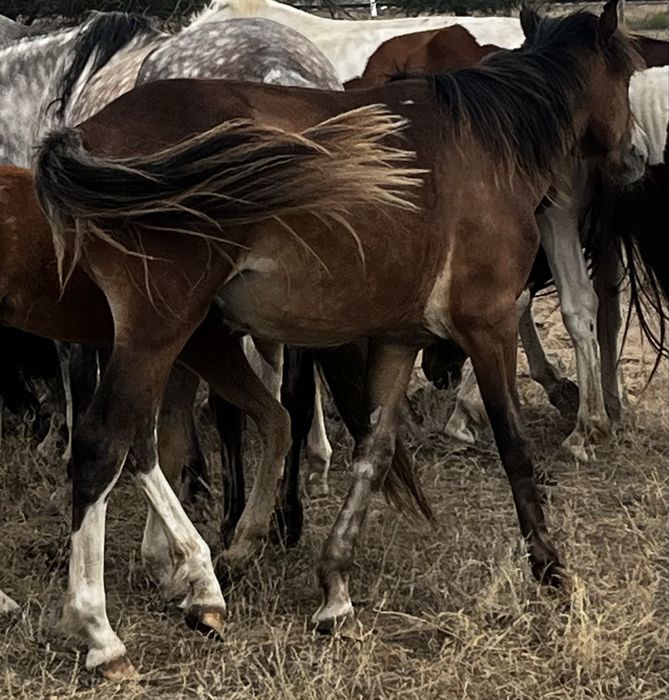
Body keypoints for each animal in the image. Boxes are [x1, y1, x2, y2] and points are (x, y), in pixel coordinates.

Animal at [32, 2, 643, 678]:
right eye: (626, 74)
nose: (634, 160)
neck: (485, 144)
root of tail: (86, 134)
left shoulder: (400, 339)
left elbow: (373, 455)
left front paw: (335, 590)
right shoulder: (490, 323)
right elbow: (513, 446)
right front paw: (550, 566)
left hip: (158, 340)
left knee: (143, 442)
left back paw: (187, 577)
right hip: (156, 332)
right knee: (101, 447)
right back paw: (102, 630)